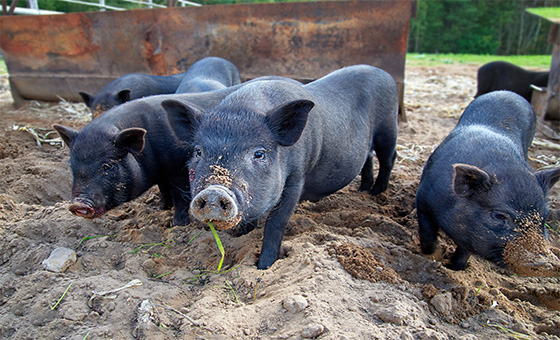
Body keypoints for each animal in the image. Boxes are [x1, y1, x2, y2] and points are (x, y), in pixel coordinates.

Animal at [162, 65, 398, 270]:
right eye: (198, 152)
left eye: (259, 153)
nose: (213, 192)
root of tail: (384, 74)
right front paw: (241, 236)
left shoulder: (297, 177)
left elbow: (276, 222)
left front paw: (264, 266)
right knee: (368, 157)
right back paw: (363, 190)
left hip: (388, 128)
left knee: (389, 158)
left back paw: (376, 193)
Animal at [418, 90, 560, 270]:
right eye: (499, 216)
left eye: (544, 218)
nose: (543, 262)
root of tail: (510, 93)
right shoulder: (423, 199)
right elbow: (427, 234)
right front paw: (432, 257)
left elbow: (464, 252)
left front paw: (455, 268)